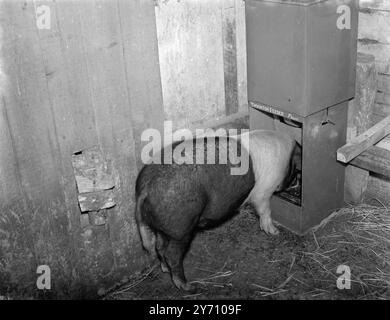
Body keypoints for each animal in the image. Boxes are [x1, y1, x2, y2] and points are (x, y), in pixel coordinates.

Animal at [135, 129, 302, 292]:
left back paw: (164, 269)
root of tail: (145, 189)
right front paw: (274, 232)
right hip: (180, 228)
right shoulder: (264, 191)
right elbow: (265, 210)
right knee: (172, 254)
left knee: (159, 247)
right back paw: (189, 287)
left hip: (163, 228)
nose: (294, 181)